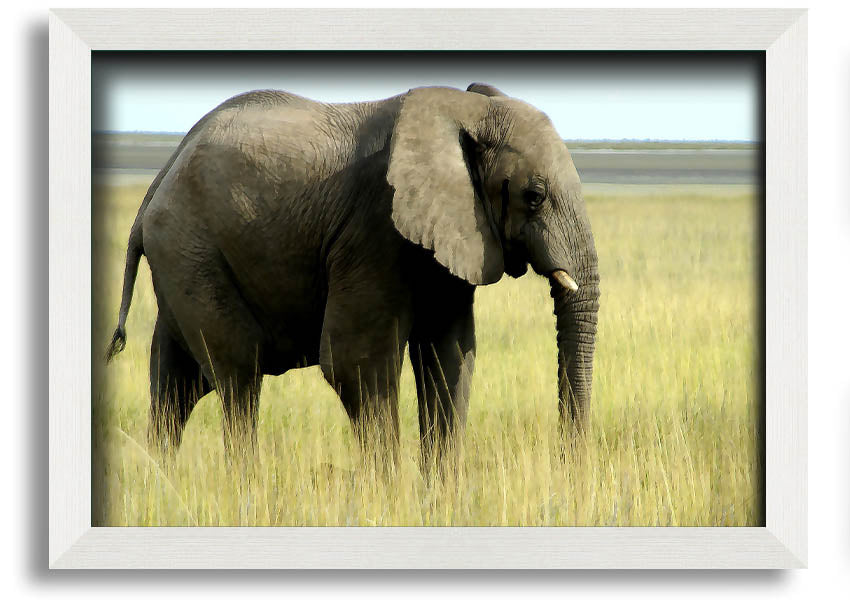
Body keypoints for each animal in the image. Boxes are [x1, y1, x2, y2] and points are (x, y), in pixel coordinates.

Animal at [104, 82, 596, 468]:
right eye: (534, 196)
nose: (567, 464)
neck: (464, 108)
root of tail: (159, 179)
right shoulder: (374, 227)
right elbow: (357, 363)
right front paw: (391, 499)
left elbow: (450, 355)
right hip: (191, 250)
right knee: (238, 376)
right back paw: (243, 487)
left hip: (183, 259)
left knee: (176, 382)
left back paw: (163, 483)